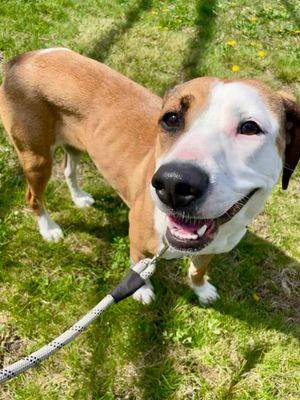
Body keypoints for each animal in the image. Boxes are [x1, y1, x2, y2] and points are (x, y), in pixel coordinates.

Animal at [0, 50, 300, 304]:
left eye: (250, 127)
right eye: (171, 118)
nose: (174, 185)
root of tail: (22, 58)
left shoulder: (211, 250)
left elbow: (198, 269)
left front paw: (201, 289)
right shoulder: (137, 236)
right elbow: (137, 265)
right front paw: (141, 290)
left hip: (75, 145)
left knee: (69, 170)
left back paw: (79, 197)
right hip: (36, 158)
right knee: (33, 196)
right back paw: (49, 229)